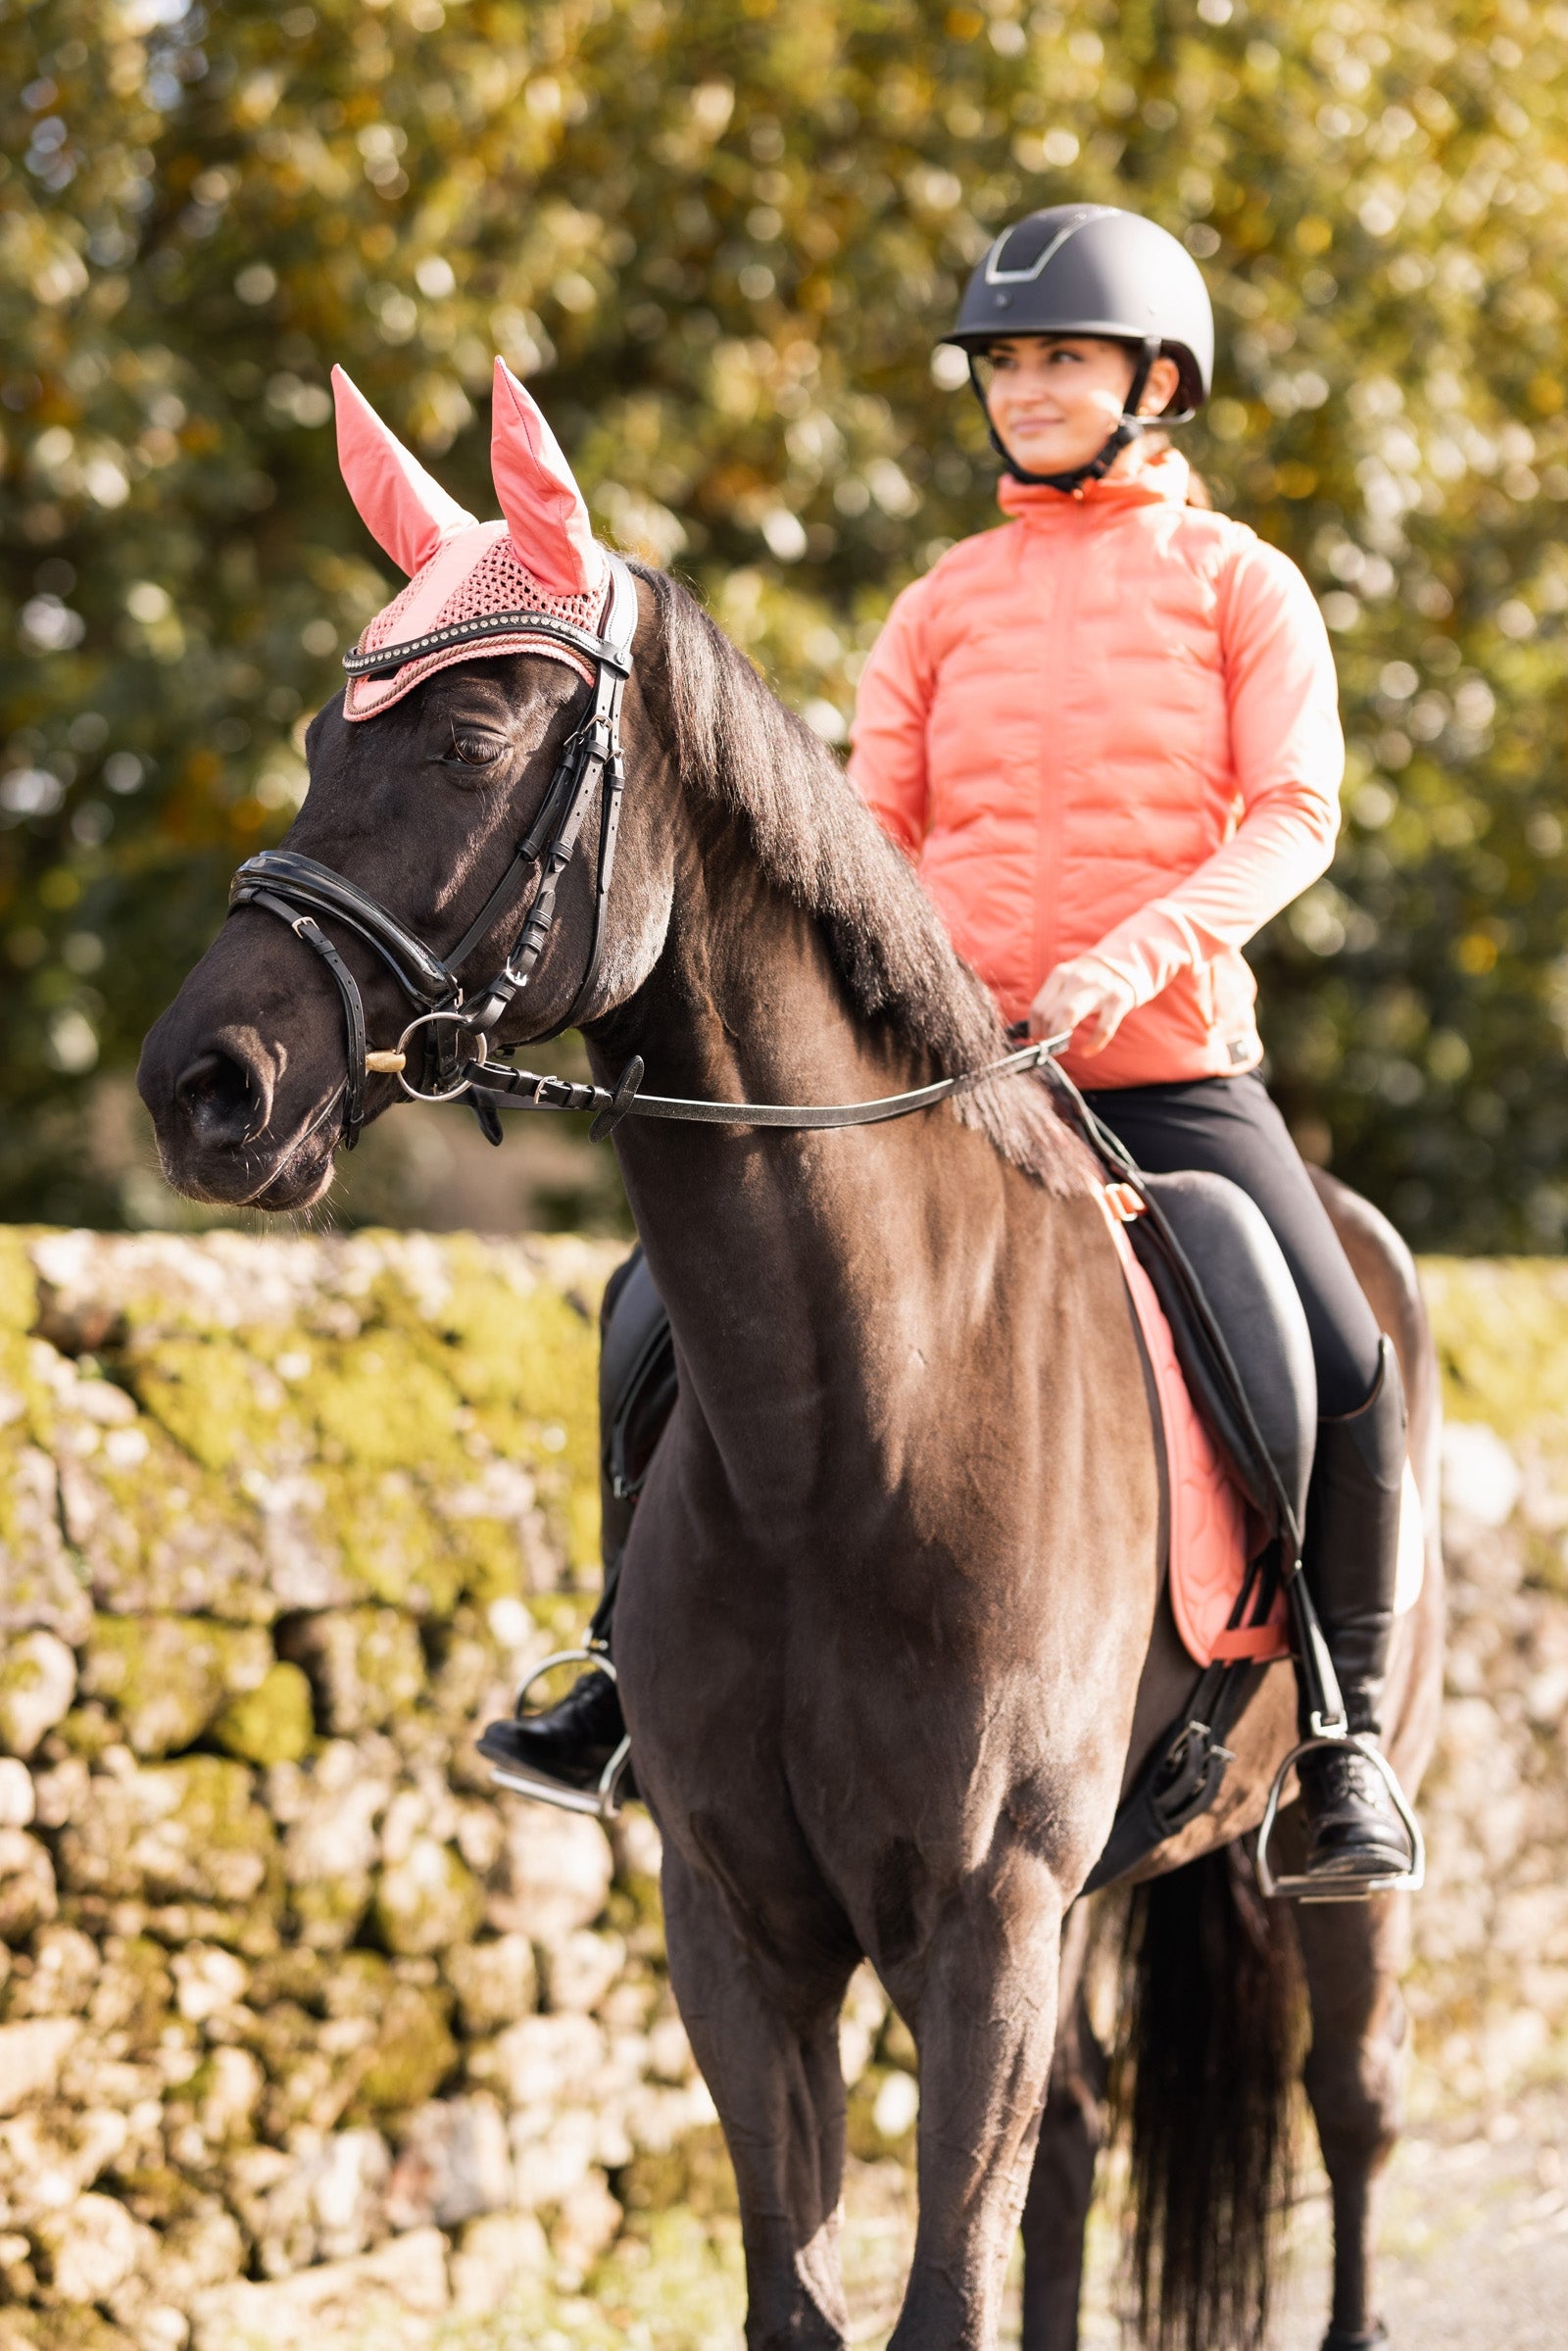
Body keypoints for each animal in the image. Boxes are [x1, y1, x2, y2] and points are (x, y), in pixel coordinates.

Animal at [138, 410, 1444, 2351]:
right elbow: (810, 2296)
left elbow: (940, 2291)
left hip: (1313, 1851)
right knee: (1076, 2147)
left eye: (469, 737)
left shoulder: (986, 1920)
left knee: (1351, 2104)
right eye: (317, 739)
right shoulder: (742, 1923)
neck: (845, 1427)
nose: (204, 1086)